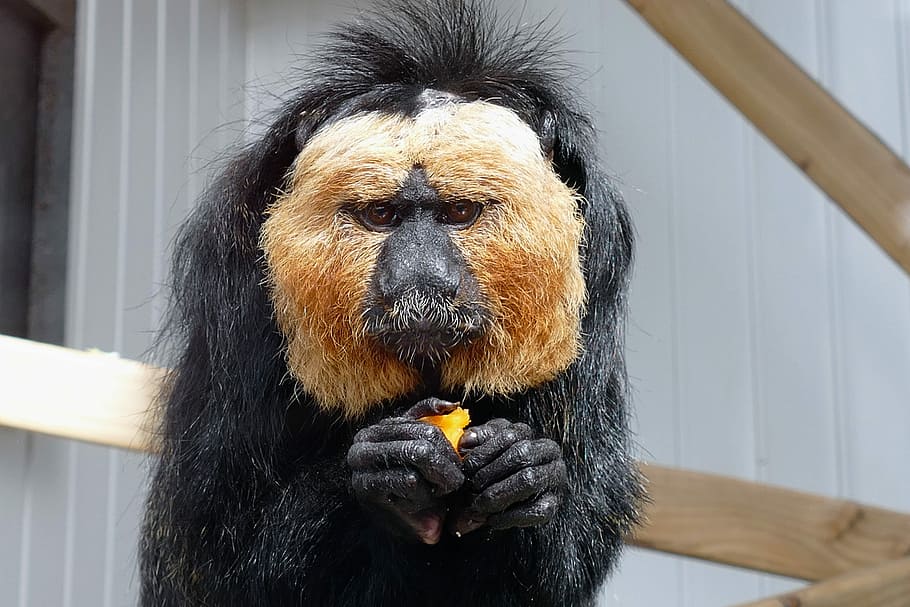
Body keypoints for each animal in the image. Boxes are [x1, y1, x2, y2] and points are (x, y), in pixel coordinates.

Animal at [139, 1, 641, 606]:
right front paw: (389, 469)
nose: (420, 277)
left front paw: (521, 473)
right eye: (381, 215)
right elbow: (212, 551)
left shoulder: (602, 263)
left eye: (459, 213)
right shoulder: (231, 279)